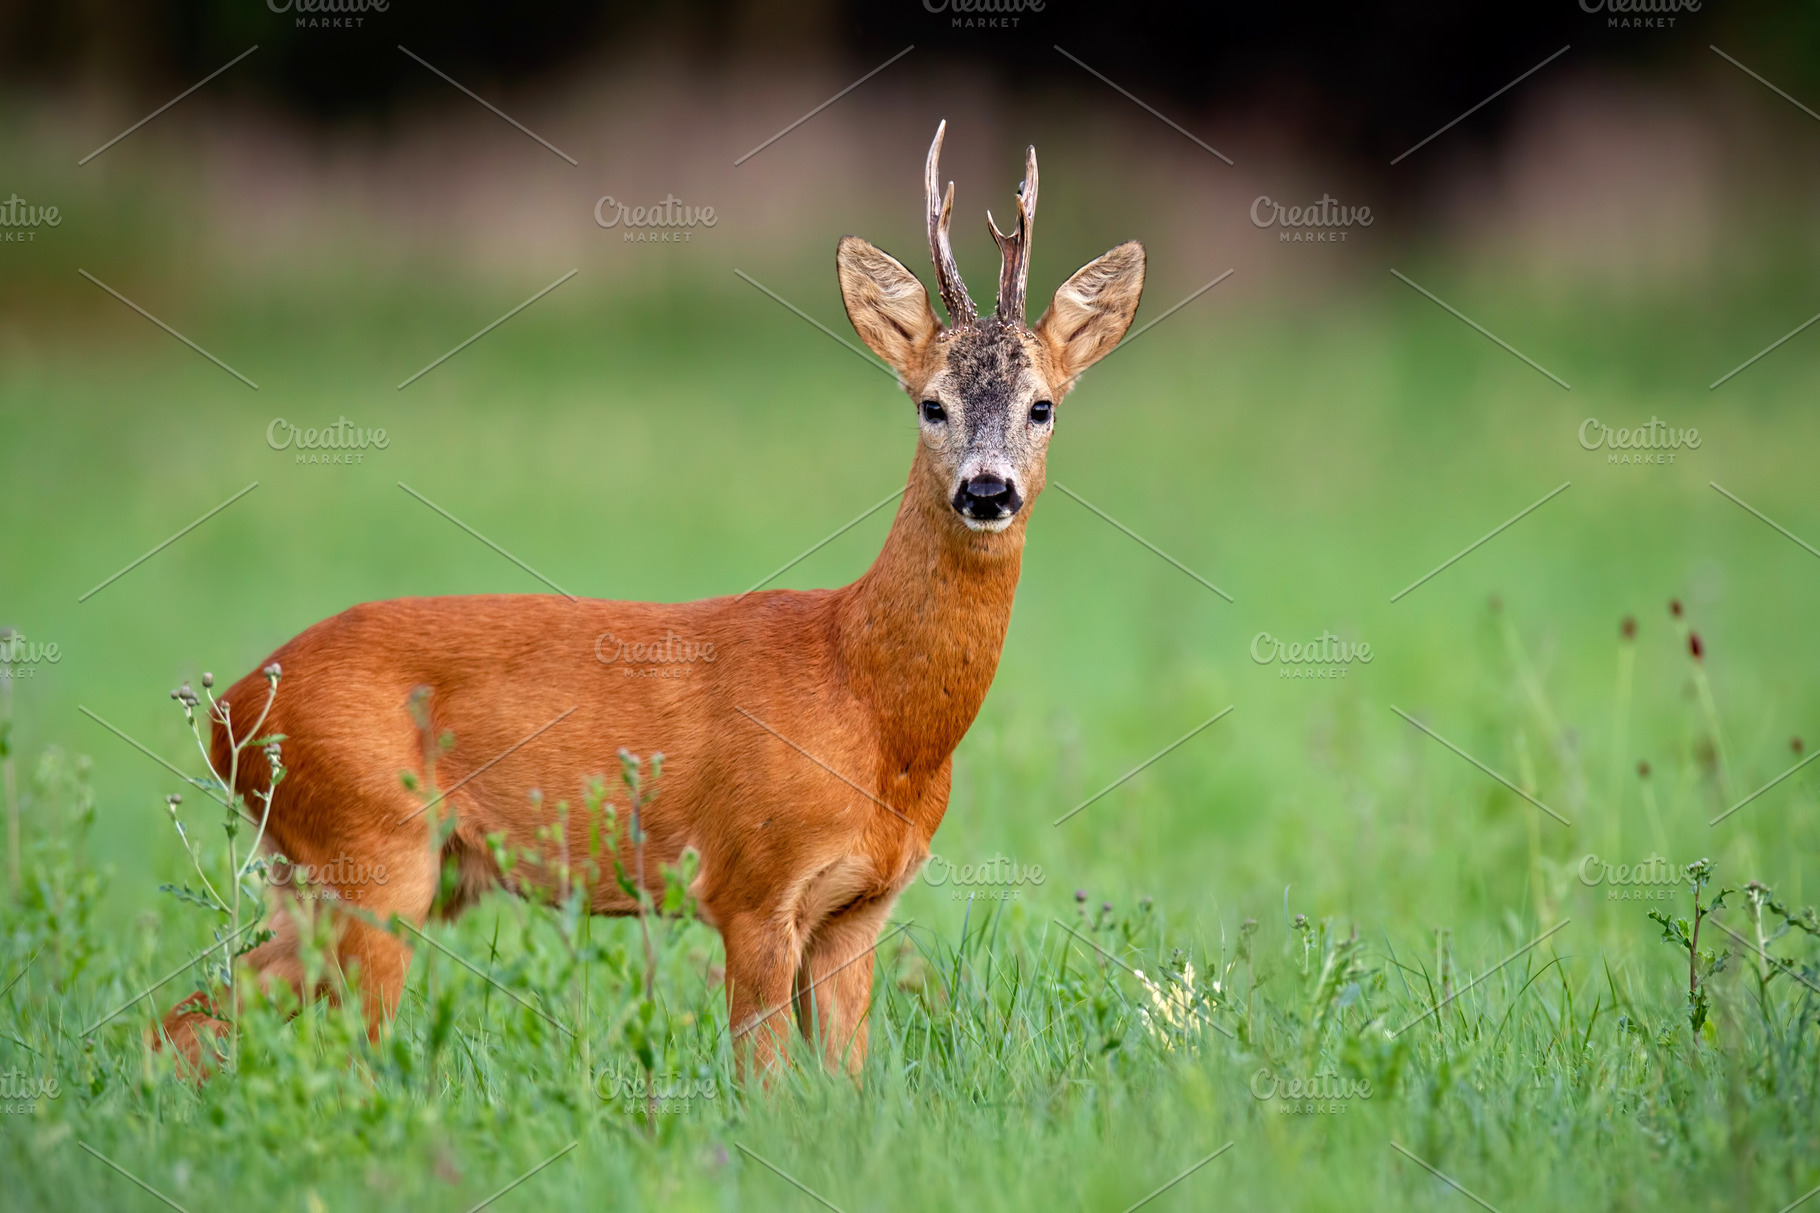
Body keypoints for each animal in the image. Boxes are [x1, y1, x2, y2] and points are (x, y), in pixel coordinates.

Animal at [163, 120, 1142, 1070]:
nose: (987, 489)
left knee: (199, 1011)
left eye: (1044, 406)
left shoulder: (857, 909)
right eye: (931, 404)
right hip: (371, 847)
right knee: (326, 1041)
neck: (870, 706)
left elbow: (847, 1087)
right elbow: (767, 1088)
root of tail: (229, 711)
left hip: (360, 870)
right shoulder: (752, 884)